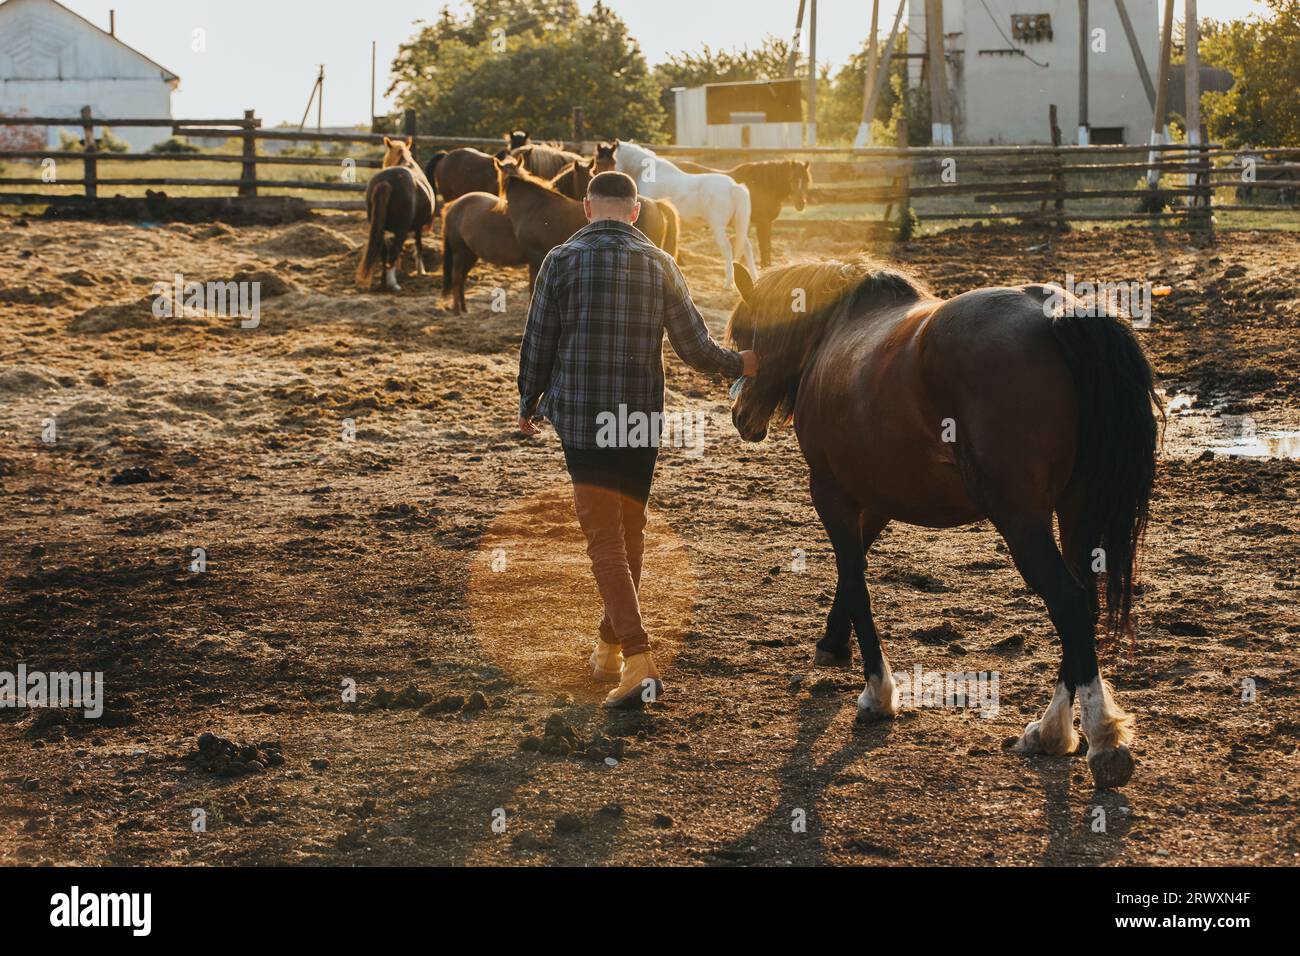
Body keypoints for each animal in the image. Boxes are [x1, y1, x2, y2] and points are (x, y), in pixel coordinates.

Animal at [356, 135, 436, 291]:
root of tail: (385, 181)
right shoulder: (417, 226)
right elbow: (418, 245)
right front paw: (420, 269)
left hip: (380, 228)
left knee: (383, 249)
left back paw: (383, 281)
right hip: (402, 229)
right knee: (394, 249)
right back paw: (393, 283)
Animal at [611, 140, 759, 286]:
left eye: (614, 159)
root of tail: (732, 186)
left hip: (719, 227)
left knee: (727, 248)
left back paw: (728, 281)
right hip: (736, 224)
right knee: (746, 246)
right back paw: (754, 277)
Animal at [676, 158, 806, 267]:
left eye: (806, 180)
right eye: (792, 179)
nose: (801, 203)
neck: (763, 185)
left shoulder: (768, 222)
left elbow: (767, 244)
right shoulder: (762, 222)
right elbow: (763, 244)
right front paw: (764, 264)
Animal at [728, 257, 1164, 790]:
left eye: (749, 335)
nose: (741, 415)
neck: (837, 331)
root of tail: (1058, 316)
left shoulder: (830, 491)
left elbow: (854, 580)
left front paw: (877, 693)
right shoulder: (876, 499)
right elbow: (851, 574)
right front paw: (832, 643)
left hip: (1021, 517)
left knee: (1068, 602)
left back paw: (1101, 739)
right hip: (1075, 510)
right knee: (1083, 601)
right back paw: (1050, 731)